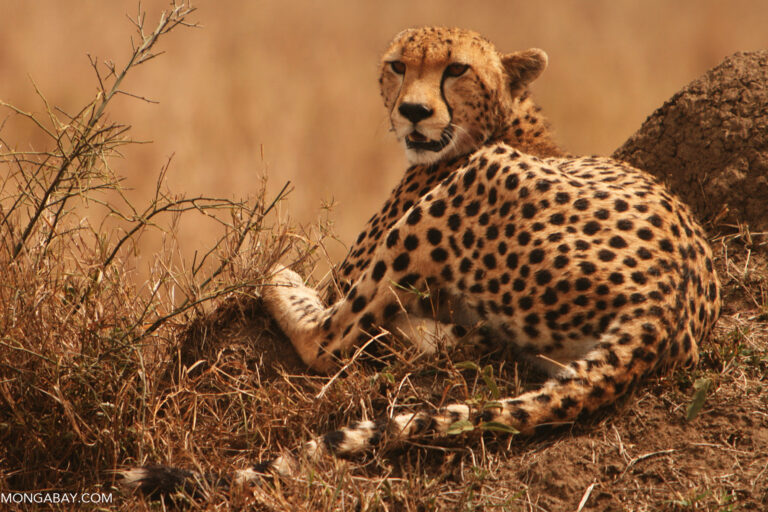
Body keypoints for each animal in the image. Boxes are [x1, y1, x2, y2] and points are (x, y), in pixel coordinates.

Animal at [120, 26, 720, 494]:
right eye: (398, 66)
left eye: (456, 69)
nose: (413, 111)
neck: (504, 121)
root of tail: (662, 309)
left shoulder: (355, 269)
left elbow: (326, 304)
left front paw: (282, 274)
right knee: (461, 343)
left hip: (476, 187)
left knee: (328, 341)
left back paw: (291, 284)